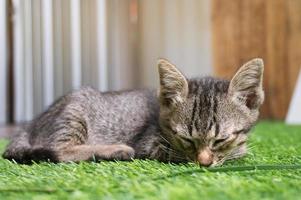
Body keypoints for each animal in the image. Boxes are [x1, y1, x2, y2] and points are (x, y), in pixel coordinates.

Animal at [3, 58, 264, 167]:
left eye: (220, 139)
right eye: (186, 139)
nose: (204, 163)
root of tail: (28, 126)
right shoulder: (149, 144)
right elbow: (174, 154)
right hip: (73, 113)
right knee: (58, 150)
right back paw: (115, 150)